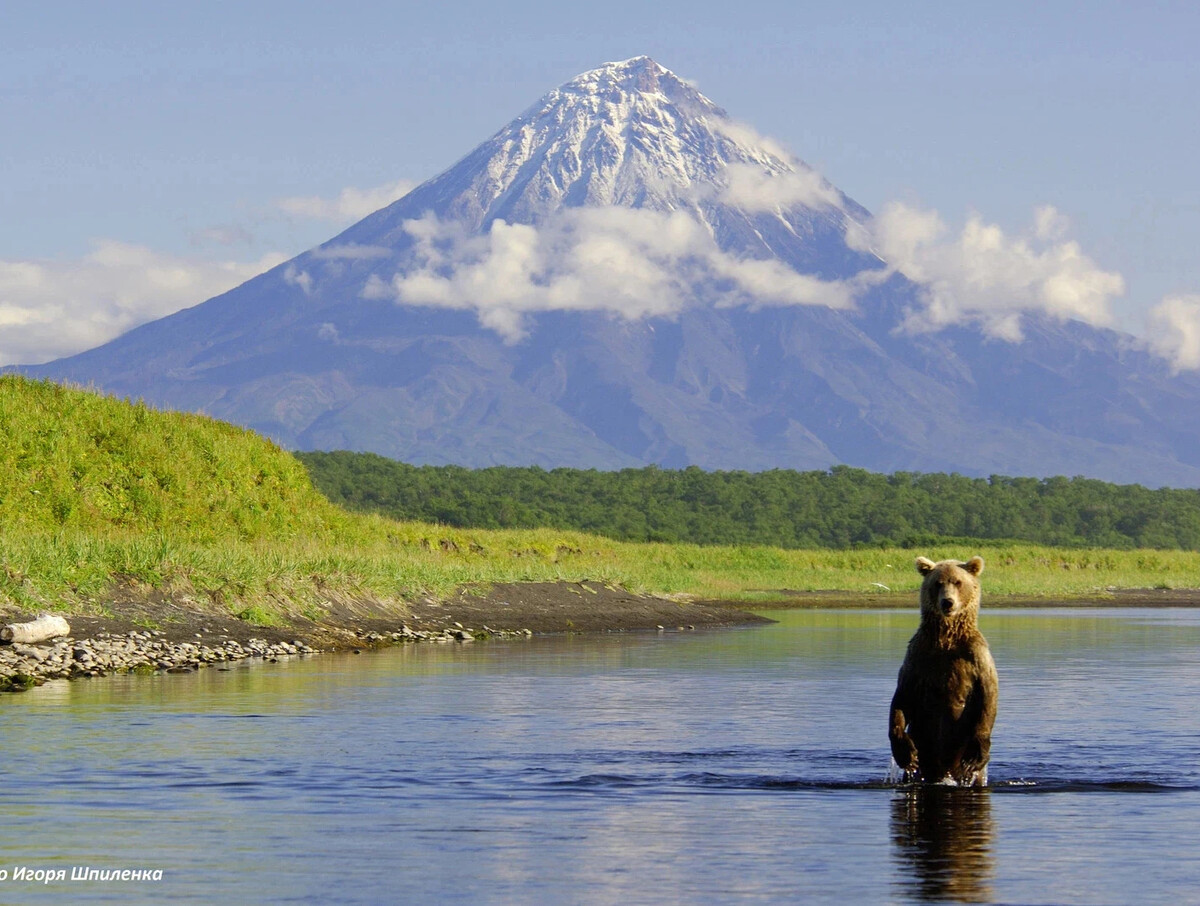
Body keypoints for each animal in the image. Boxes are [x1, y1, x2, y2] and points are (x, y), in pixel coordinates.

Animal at [888, 552, 998, 787]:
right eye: (937, 583)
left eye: (958, 582)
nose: (947, 602)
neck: (946, 639)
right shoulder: (918, 657)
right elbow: (902, 698)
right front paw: (906, 753)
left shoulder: (976, 657)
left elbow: (987, 696)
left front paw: (975, 756)